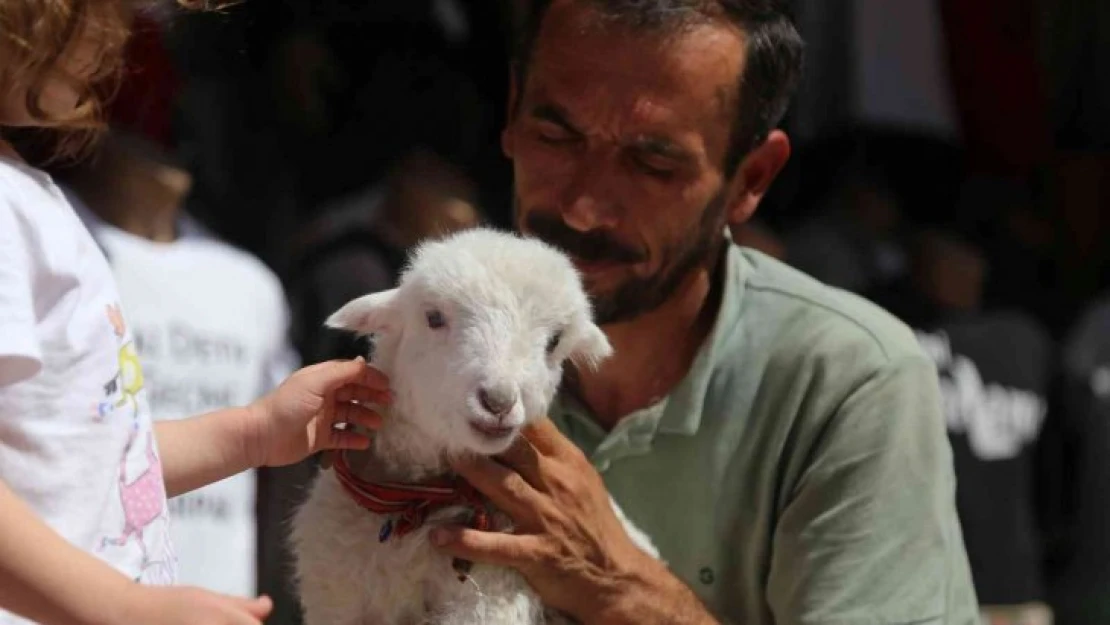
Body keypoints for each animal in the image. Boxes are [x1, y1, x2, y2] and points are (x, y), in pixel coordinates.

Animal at [290, 228, 661, 625]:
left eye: (555, 341)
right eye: (433, 317)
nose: (498, 401)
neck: (415, 503)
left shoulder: (489, 598)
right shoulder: (336, 597)